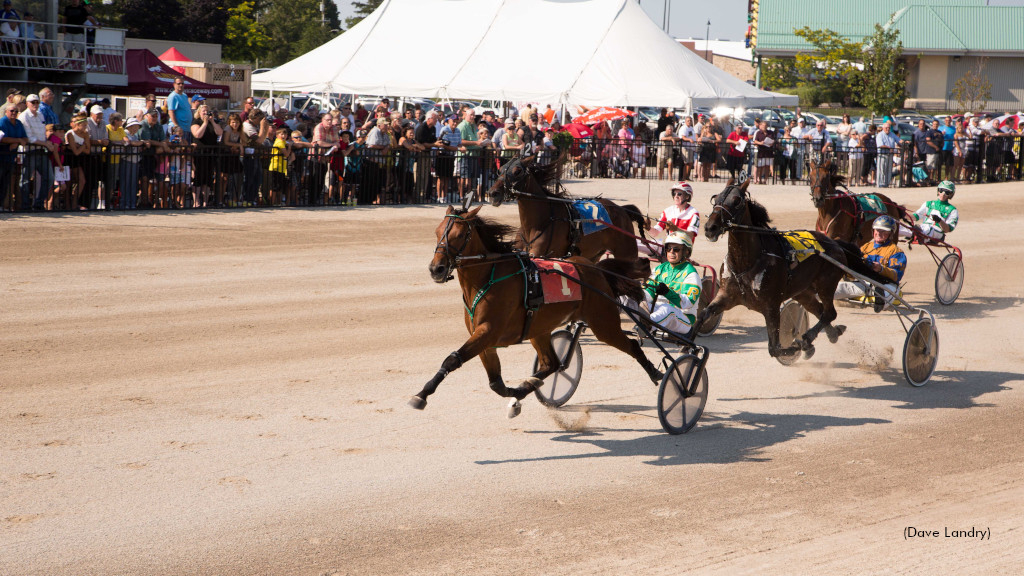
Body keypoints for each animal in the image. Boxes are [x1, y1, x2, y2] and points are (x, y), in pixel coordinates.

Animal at [409, 203, 663, 414]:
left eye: (460, 235)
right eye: (437, 232)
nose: (437, 269)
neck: (488, 277)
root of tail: (597, 270)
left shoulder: (488, 332)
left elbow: (453, 360)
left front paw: (421, 395)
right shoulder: (483, 338)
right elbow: (495, 383)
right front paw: (516, 393)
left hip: (603, 323)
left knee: (631, 345)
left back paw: (657, 373)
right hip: (539, 329)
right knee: (553, 364)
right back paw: (529, 384)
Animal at [485, 152, 643, 260]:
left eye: (517, 171)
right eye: (500, 170)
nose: (493, 193)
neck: (538, 224)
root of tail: (622, 209)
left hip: (627, 254)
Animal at [700, 179, 892, 358]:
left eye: (737, 201)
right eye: (716, 198)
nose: (710, 228)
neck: (748, 262)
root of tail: (835, 244)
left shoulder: (771, 306)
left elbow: (774, 348)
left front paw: (795, 346)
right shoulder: (726, 296)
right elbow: (703, 315)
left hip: (826, 284)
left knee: (829, 313)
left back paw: (808, 338)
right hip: (803, 292)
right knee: (820, 311)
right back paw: (832, 333)